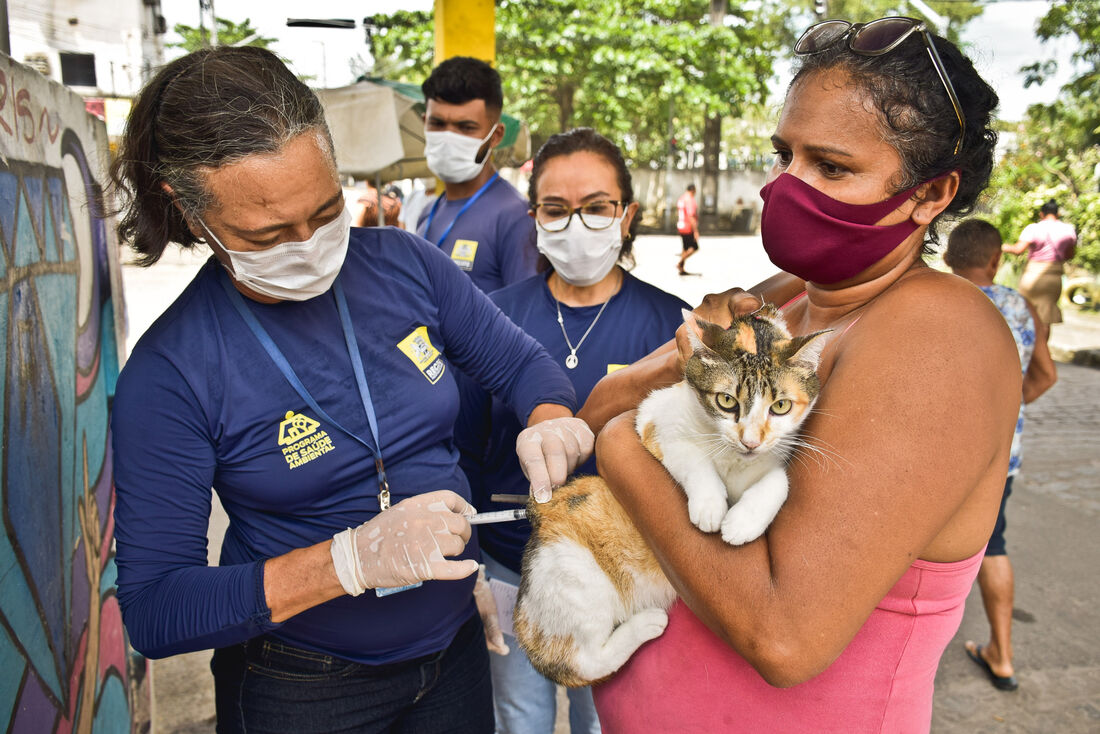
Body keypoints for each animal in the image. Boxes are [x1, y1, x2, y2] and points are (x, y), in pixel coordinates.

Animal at [512, 303, 827, 691]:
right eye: (727, 401)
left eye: (780, 406)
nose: (750, 440)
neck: (733, 459)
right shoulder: (655, 421)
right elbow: (694, 459)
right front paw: (710, 506)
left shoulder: (775, 455)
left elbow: (778, 480)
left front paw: (743, 522)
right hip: (577, 577)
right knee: (584, 661)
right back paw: (647, 623)